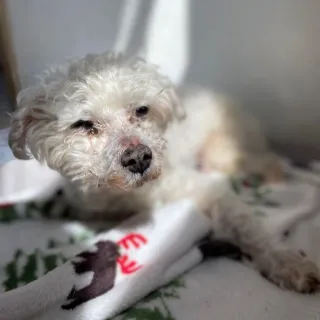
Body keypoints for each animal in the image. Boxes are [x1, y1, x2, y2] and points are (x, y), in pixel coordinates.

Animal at [8, 52, 320, 292]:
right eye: (83, 124)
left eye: (142, 110)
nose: (139, 158)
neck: (123, 196)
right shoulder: (93, 210)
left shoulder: (203, 189)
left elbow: (248, 226)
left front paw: (287, 262)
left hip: (223, 153)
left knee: (269, 161)